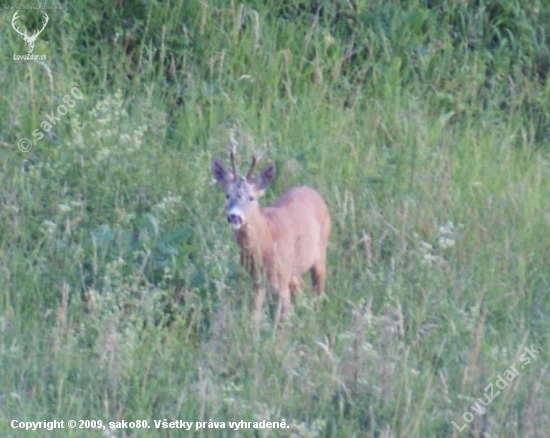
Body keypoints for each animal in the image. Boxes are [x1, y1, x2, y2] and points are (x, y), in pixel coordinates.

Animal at [211, 151, 332, 318]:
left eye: (251, 198)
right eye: (227, 195)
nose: (234, 217)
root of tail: (312, 191)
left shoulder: (280, 278)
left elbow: (284, 316)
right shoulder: (257, 278)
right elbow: (254, 313)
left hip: (320, 252)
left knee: (318, 291)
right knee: (301, 286)